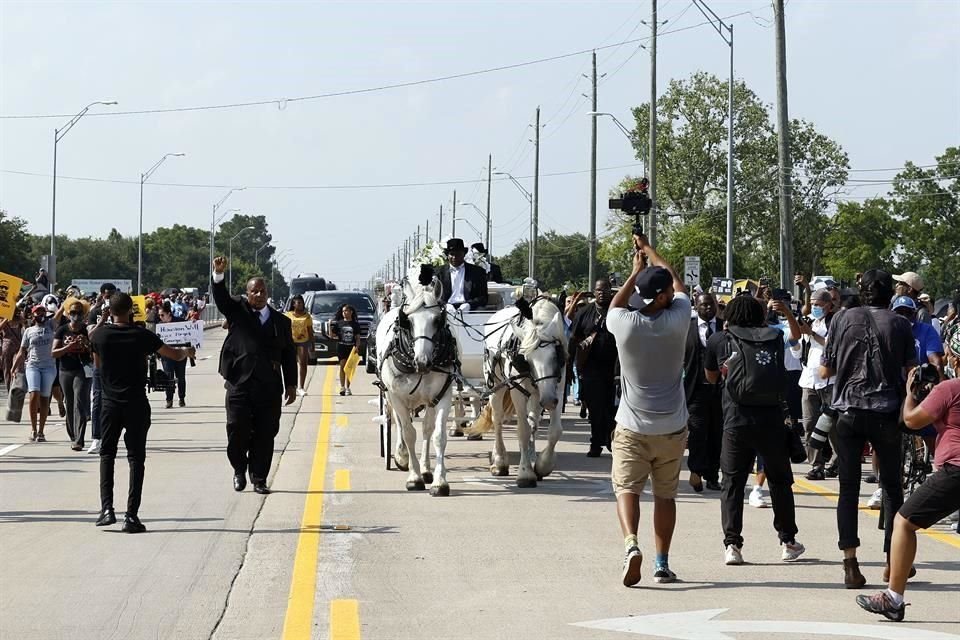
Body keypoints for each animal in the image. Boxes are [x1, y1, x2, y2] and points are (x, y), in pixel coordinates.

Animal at [376, 268, 458, 496]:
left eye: (438, 320)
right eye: (408, 321)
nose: (423, 361)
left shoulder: (443, 395)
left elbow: (437, 435)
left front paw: (439, 481)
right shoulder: (396, 397)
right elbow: (408, 433)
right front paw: (414, 477)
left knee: (427, 428)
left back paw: (426, 469)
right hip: (389, 397)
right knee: (397, 423)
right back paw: (402, 456)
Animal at [484, 298, 568, 488]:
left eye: (555, 355)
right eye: (526, 359)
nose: (548, 401)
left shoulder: (558, 389)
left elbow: (555, 431)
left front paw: (543, 465)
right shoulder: (518, 390)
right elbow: (522, 430)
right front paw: (525, 473)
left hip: (537, 396)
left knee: (533, 422)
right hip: (496, 385)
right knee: (497, 419)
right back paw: (499, 461)